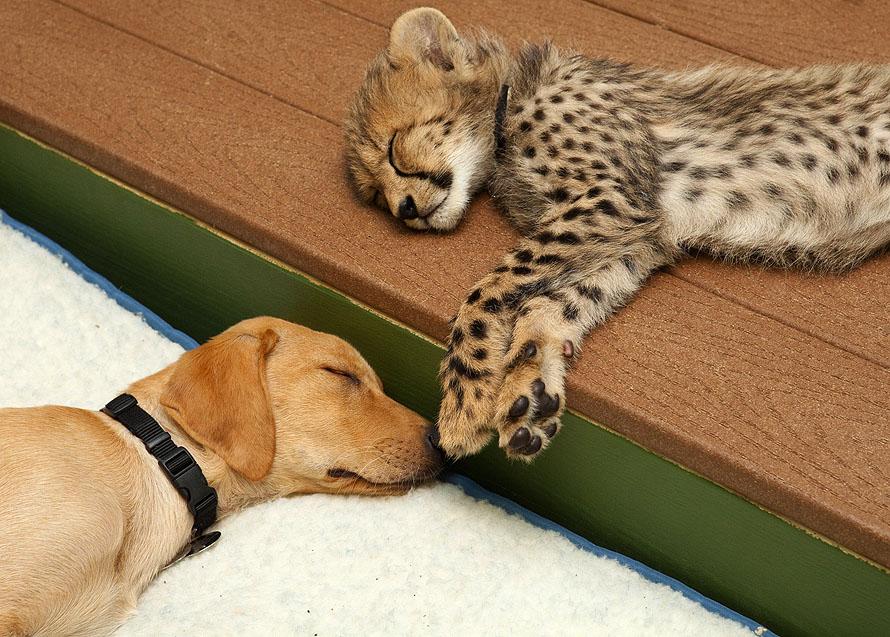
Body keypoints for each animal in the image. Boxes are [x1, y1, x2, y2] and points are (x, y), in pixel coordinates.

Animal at [344, 7, 890, 462]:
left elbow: (488, 291)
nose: (405, 210)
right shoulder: (638, 240)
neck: (509, 106)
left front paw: (467, 400)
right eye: (376, 196)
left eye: (393, 149)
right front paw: (530, 388)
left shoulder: (610, 198)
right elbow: (552, 302)